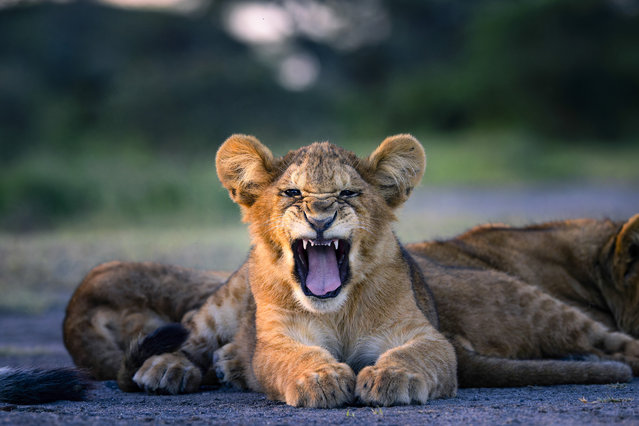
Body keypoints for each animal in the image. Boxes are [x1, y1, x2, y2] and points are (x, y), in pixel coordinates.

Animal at [62, 135, 639, 408]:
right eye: (292, 192)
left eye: (347, 194)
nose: (320, 215)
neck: (337, 311)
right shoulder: (277, 341)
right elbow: (292, 358)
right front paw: (320, 378)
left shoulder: (426, 335)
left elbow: (414, 356)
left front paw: (390, 378)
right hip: (219, 307)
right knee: (188, 336)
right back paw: (168, 369)